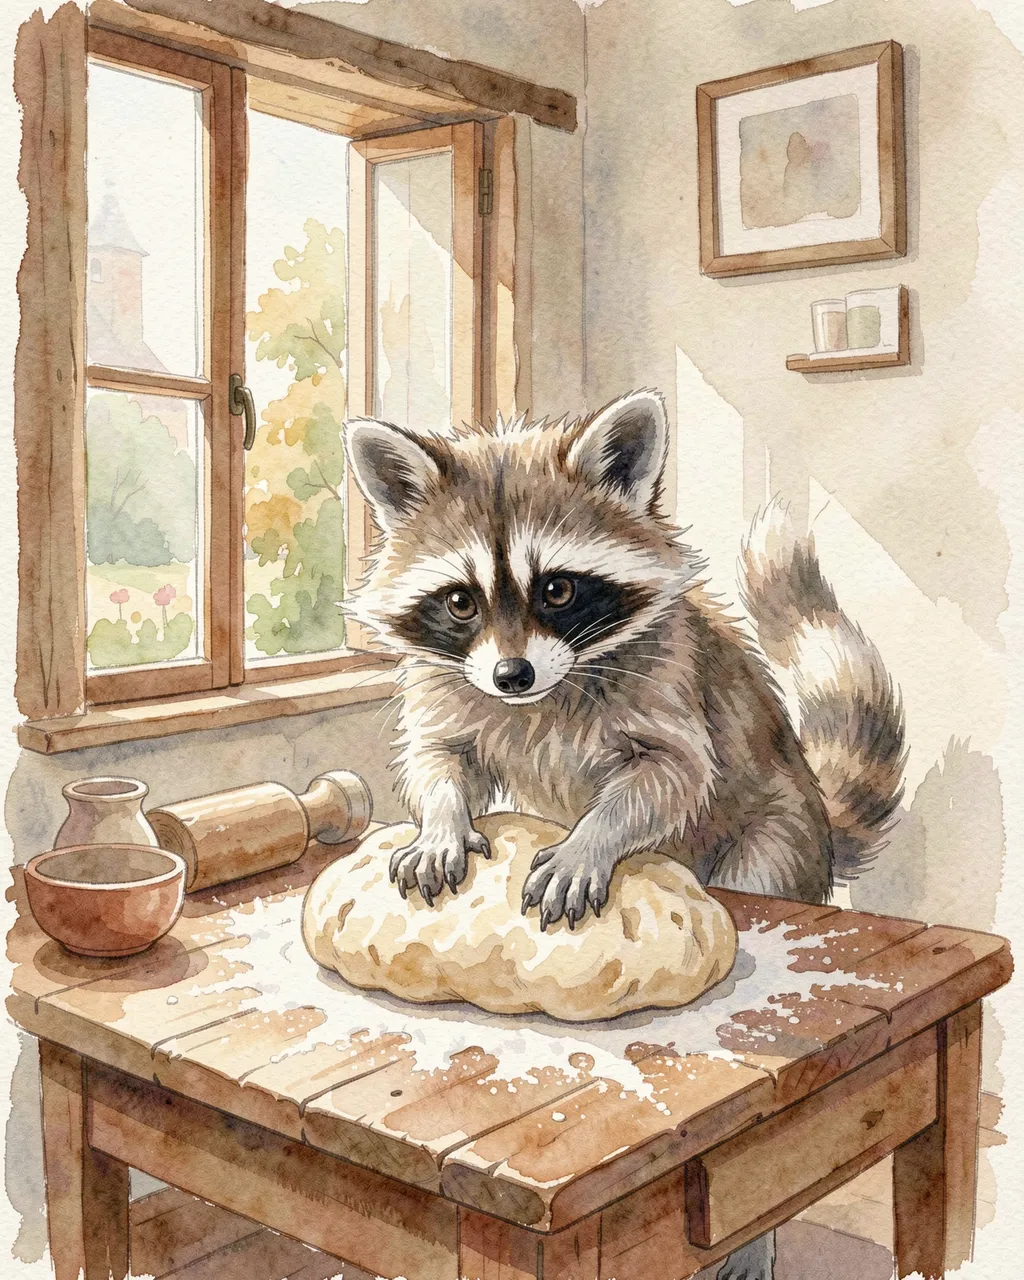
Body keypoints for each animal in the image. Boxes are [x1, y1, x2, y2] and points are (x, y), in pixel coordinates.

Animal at [343, 390, 905, 932]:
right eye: (461, 602)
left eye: (558, 590)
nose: (512, 676)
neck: (545, 695)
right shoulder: (449, 684)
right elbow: (438, 758)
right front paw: (442, 821)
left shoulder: (669, 678)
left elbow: (671, 775)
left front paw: (589, 840)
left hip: (778, 837)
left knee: (761, 861)